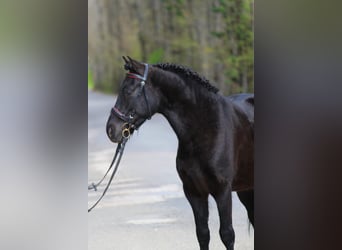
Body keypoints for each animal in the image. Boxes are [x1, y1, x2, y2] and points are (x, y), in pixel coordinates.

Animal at [107, 57, 254, 250]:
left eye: (128, 90)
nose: (111, 129)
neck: (206, 127)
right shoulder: (194, 192)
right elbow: (203, 234)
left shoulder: (222, 191)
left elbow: (227, 234)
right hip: (246, 189)